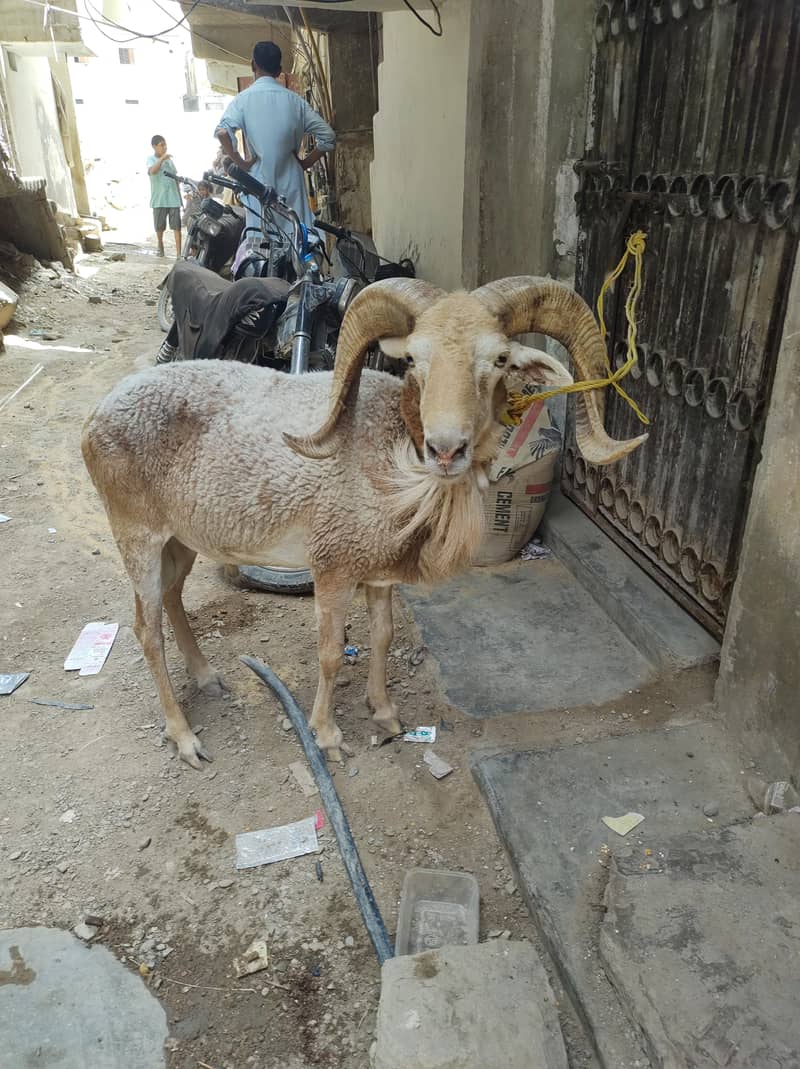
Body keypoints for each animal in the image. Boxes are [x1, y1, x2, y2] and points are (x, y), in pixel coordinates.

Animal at [82, 276, 646, 767]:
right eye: (414, 358)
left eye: (500, 359)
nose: (446, 449)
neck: (393, 464)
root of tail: (95, 419)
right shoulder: (332, 567)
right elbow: (331, 652)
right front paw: (328, 737)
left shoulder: (380, 574)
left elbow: (383, 635)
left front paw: (387, 715)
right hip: (135, 535)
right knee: (145, 628)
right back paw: (185, 738)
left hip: (180, 539)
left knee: (173, 598)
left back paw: (207, 679)